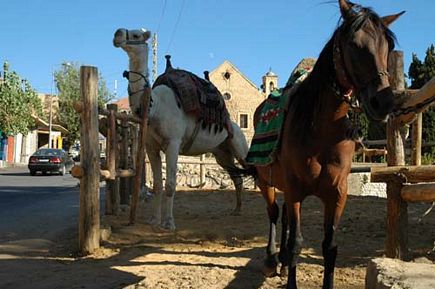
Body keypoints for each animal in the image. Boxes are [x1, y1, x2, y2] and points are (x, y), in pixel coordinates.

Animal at [113, 27, 249, 230]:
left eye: (136, 34)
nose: (117, 34)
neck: (155, 108)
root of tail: (232, 125)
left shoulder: (173, 143)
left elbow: (170, 184)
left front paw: (168, 223)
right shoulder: (151, 147)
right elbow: (157, 185)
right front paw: (154, 220)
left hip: (238, 144)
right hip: (222, 153)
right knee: (237, 177)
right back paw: (237, 210)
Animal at [254, 0, 404, 288]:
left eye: (388, 47)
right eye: (354, 44)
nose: (384, 102)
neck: (320, 129)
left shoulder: (337, 194)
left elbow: (329, 247)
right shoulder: (296, 190)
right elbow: (297, 243)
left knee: (284, 216)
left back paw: (281, 262)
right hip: (265, 182)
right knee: (274, 213)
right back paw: (271, 259)